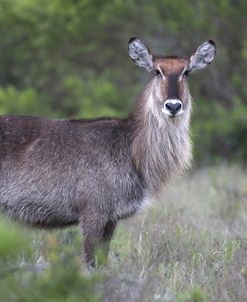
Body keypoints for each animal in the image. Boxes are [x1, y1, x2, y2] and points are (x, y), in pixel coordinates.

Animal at [0, 38, 216, 266]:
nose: (173, 106)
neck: (132, 150)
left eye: (186, 72)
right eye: (157, 71)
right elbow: (90, 261)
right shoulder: (93, 211)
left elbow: (102, 260)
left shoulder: (112, 218)